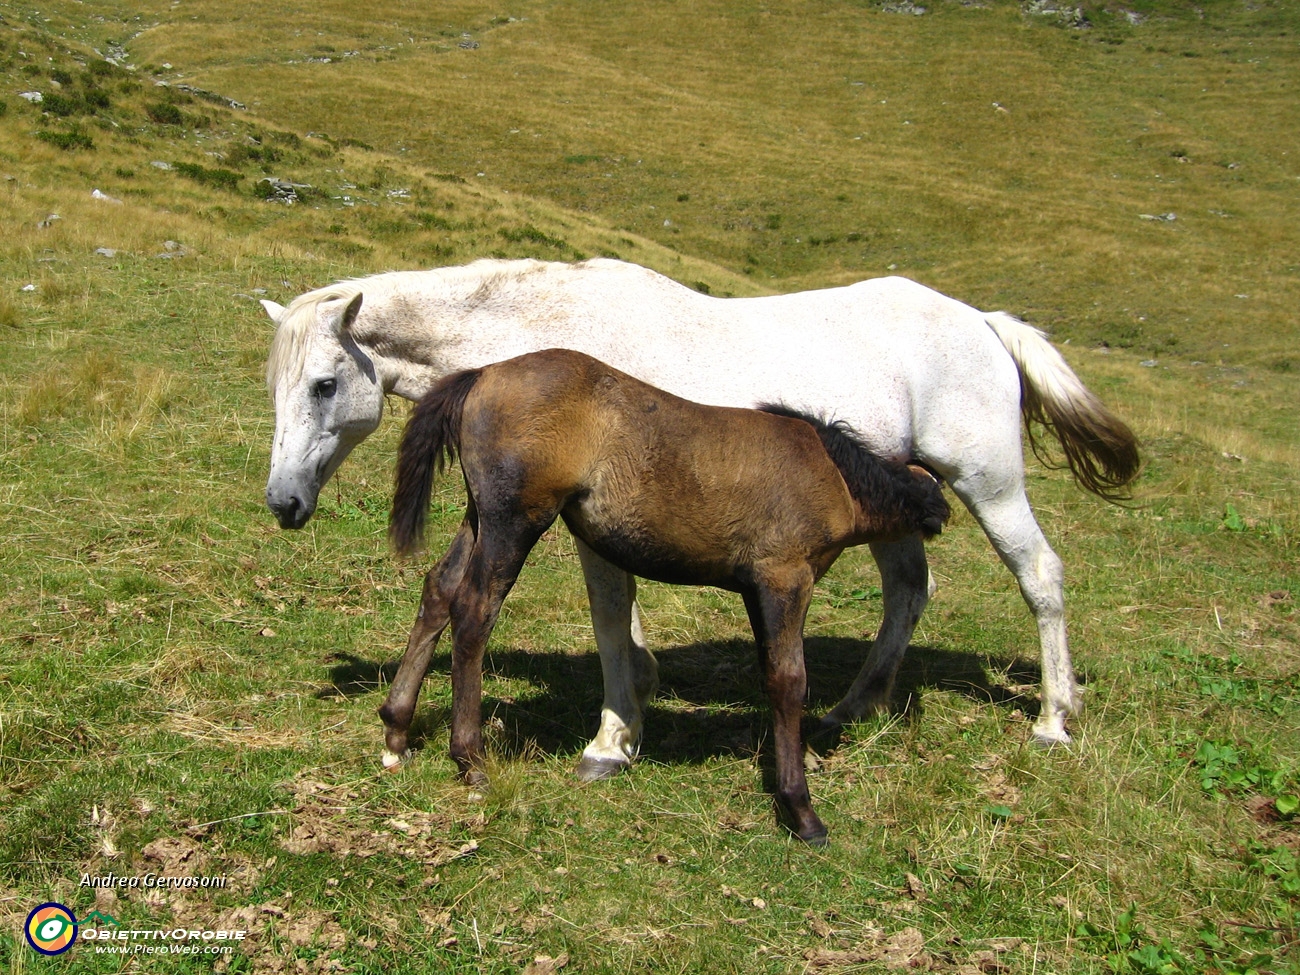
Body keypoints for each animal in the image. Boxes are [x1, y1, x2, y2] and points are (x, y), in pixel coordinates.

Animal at [263, 256, 1138, 774]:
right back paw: (853, 707)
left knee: (1040, 575)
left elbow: (609, 616)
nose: (283, 501)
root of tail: (984, 322)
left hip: (990, 484)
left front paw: (612, 737)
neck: (541, 332)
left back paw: (1055, 717)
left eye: (324, 384)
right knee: (907, 589)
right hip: (894, 503)